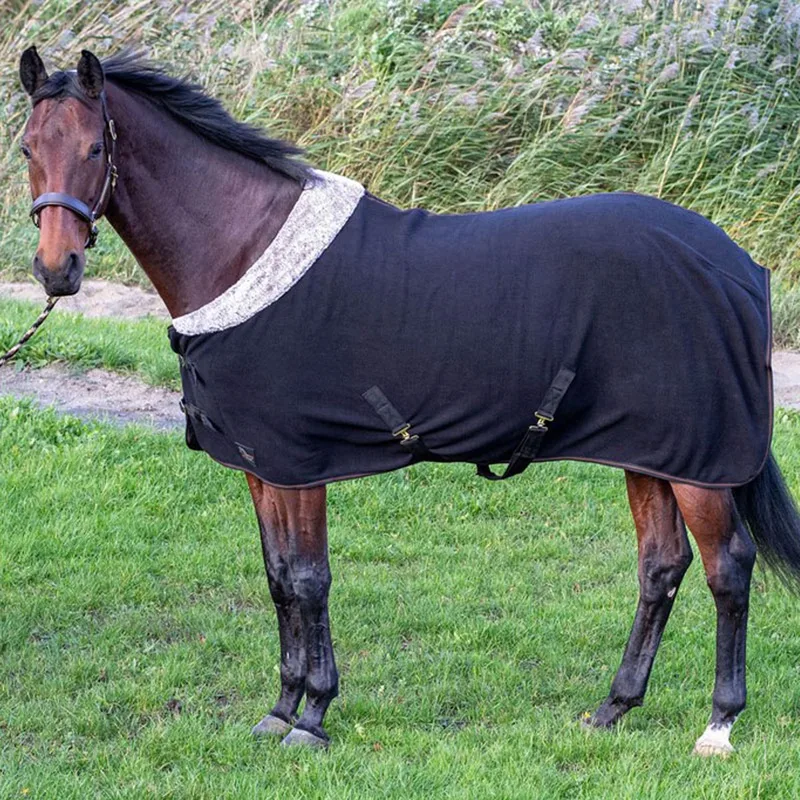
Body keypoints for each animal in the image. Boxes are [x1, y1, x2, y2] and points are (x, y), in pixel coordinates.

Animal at [17, 46, 800, 756]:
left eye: (95, 147)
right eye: (27, 147)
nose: (58, 271)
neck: (245, 252)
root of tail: (735, 266)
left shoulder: (300, 466)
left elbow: (310, 580)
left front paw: (312, 717)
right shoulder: (258, 465)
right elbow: (277, 580)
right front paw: (278, 708)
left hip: (699, 463)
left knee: (727, 568)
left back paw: (718, 725)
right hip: (651, 451)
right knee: (660, 565)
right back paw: (613, 708)